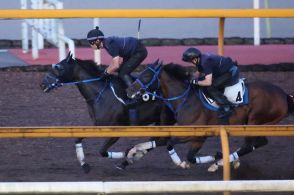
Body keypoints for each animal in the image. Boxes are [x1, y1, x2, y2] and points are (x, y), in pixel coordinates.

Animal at [40, 52, 176, 173]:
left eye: (59, 68)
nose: (43, 84)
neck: (100, 94)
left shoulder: (117, 130)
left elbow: (102, 151)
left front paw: (125, 153)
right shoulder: (97, 125)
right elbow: (78, 139)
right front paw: (84, 164)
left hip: (167, 119)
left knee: (163, 141)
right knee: (156, 140)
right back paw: (127, 161)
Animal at [126, 61, 294, 170]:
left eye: (146, 75)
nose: (129, 90)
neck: (186, 99)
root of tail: (284, 96)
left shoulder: (196, 134)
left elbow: (170, 144)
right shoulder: (194, 136)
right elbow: (182, 152)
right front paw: (133, 151)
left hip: (255, 121)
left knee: (249, 145)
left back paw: (219, 164)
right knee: (259, 143)